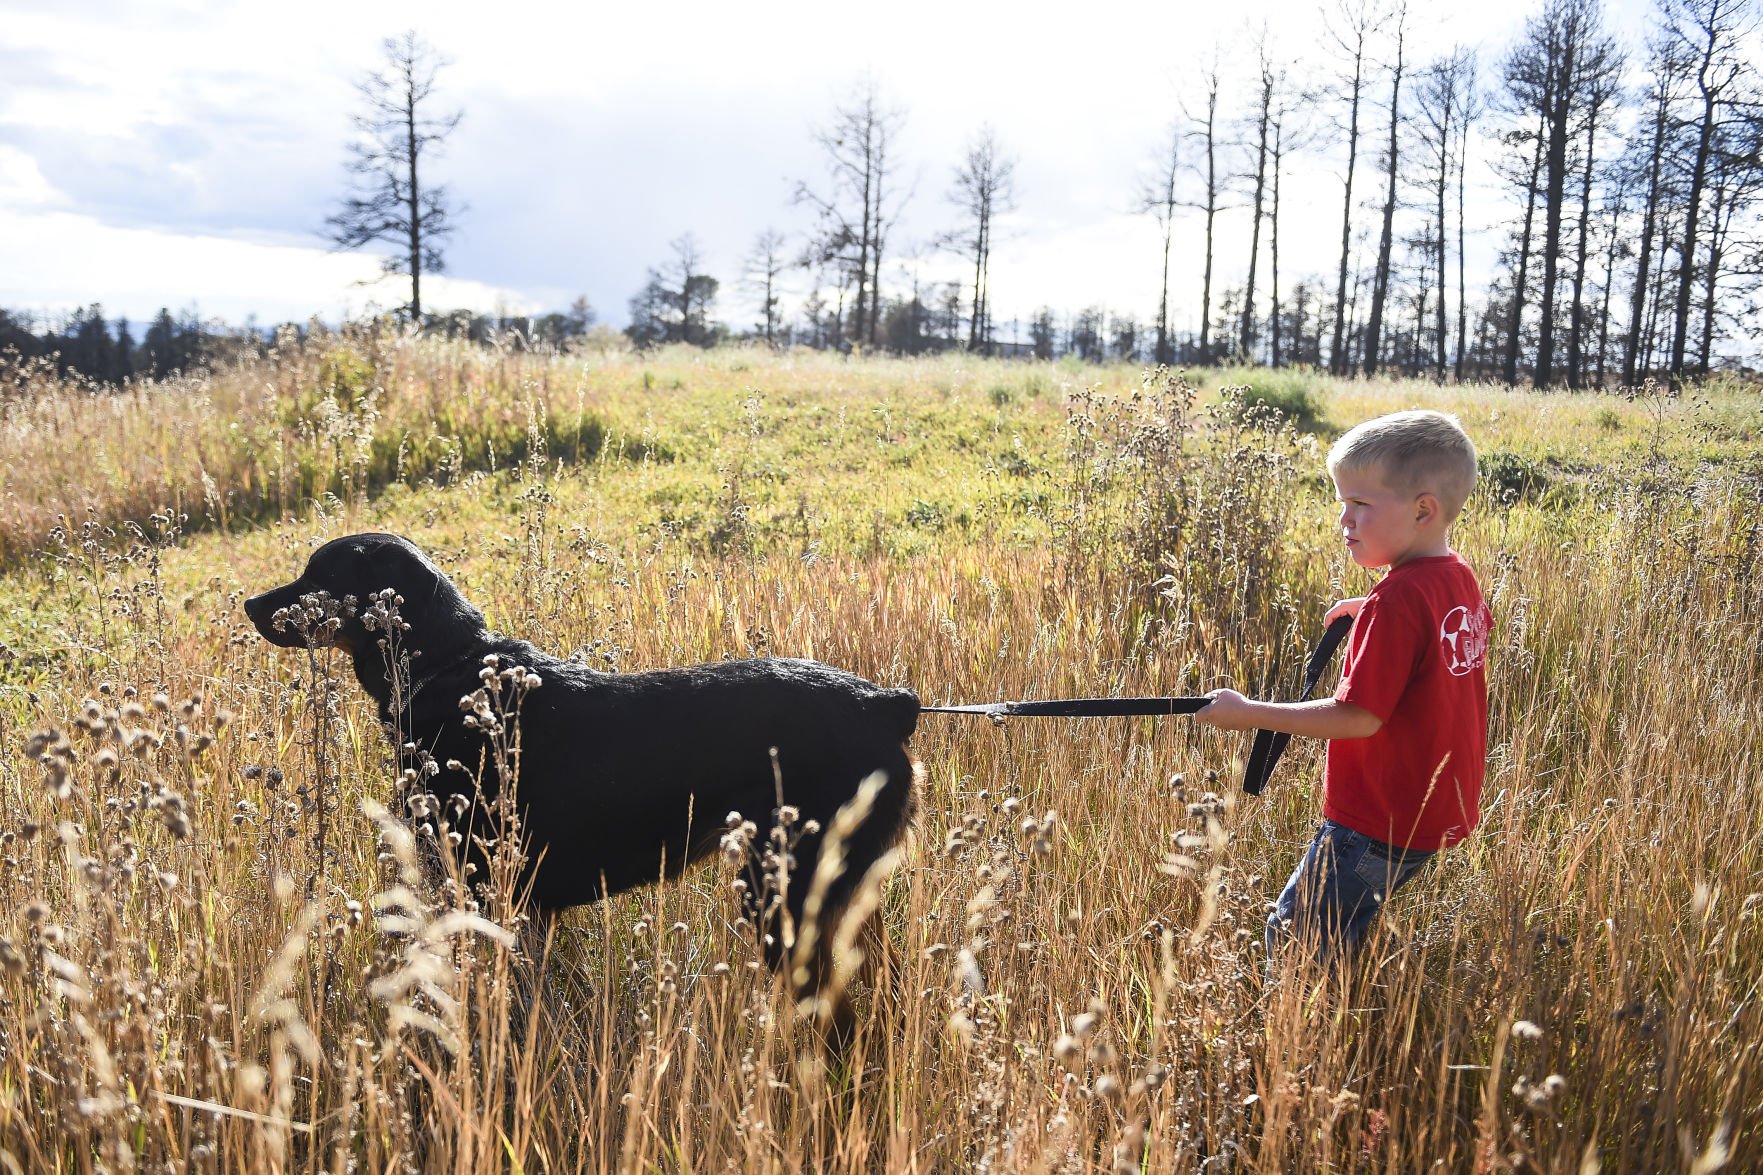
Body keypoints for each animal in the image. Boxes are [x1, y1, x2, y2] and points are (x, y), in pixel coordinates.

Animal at [246, 536, 923, 1009]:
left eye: (320, 574)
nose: (252, 603)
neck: (454, 670)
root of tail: (885, 702)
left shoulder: (485, 887)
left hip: (785, 893)